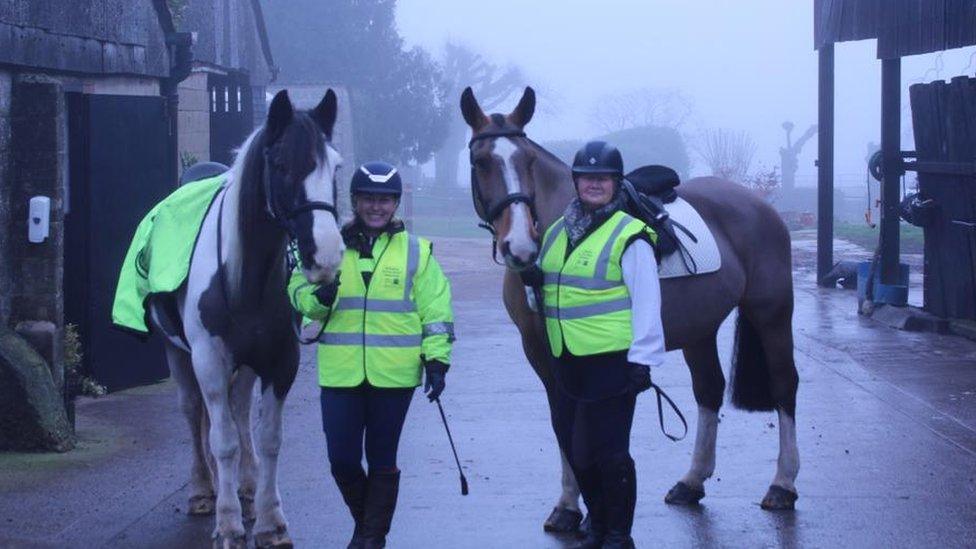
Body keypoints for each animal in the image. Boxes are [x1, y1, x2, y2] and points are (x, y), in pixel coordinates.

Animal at [149, 90, 346, 544]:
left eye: (335, 166)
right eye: (281, 165)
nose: (325, 257)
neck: (244, 277)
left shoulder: (281, 360)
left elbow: (269, 438)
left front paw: (271, 519)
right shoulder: (209, 360)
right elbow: (222, 442)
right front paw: (228, 525)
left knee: (239, 411)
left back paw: (250, 487)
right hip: (177, 353)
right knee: (193, 413)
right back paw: (203, 491)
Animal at [460, 85, 800, 528]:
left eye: (528, 160)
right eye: (480, 162)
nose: (519, 245)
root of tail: (760, 206)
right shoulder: (541, 354)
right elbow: (562, 423)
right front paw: (569, 505)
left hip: (772, 314)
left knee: (784, 385)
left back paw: (783, 484)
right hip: (701, 328)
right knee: (709, 389)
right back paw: (692, 481)